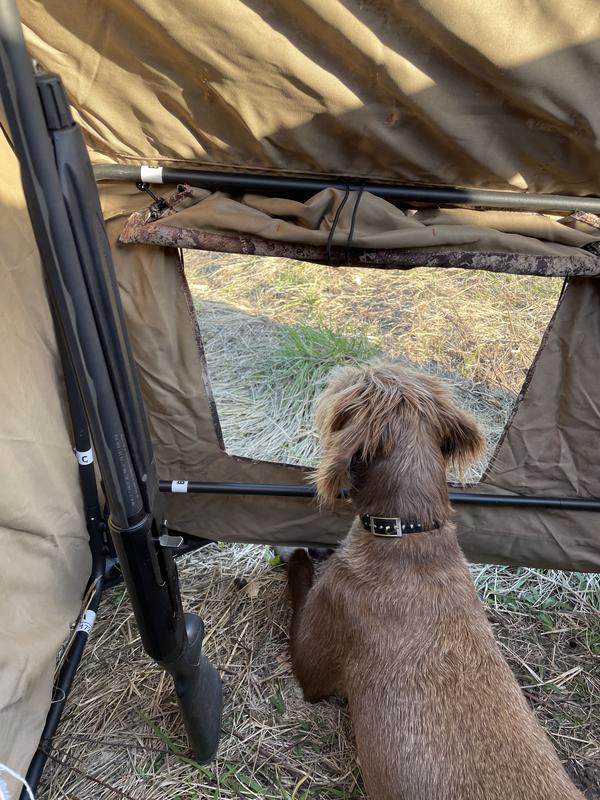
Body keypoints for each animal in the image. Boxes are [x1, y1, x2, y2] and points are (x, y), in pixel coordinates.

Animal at [288, 364, 584, 800]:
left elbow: (297, 580)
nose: (342, 367)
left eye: (352, 381)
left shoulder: (313, 665)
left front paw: (298, 553)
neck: (408, 533)